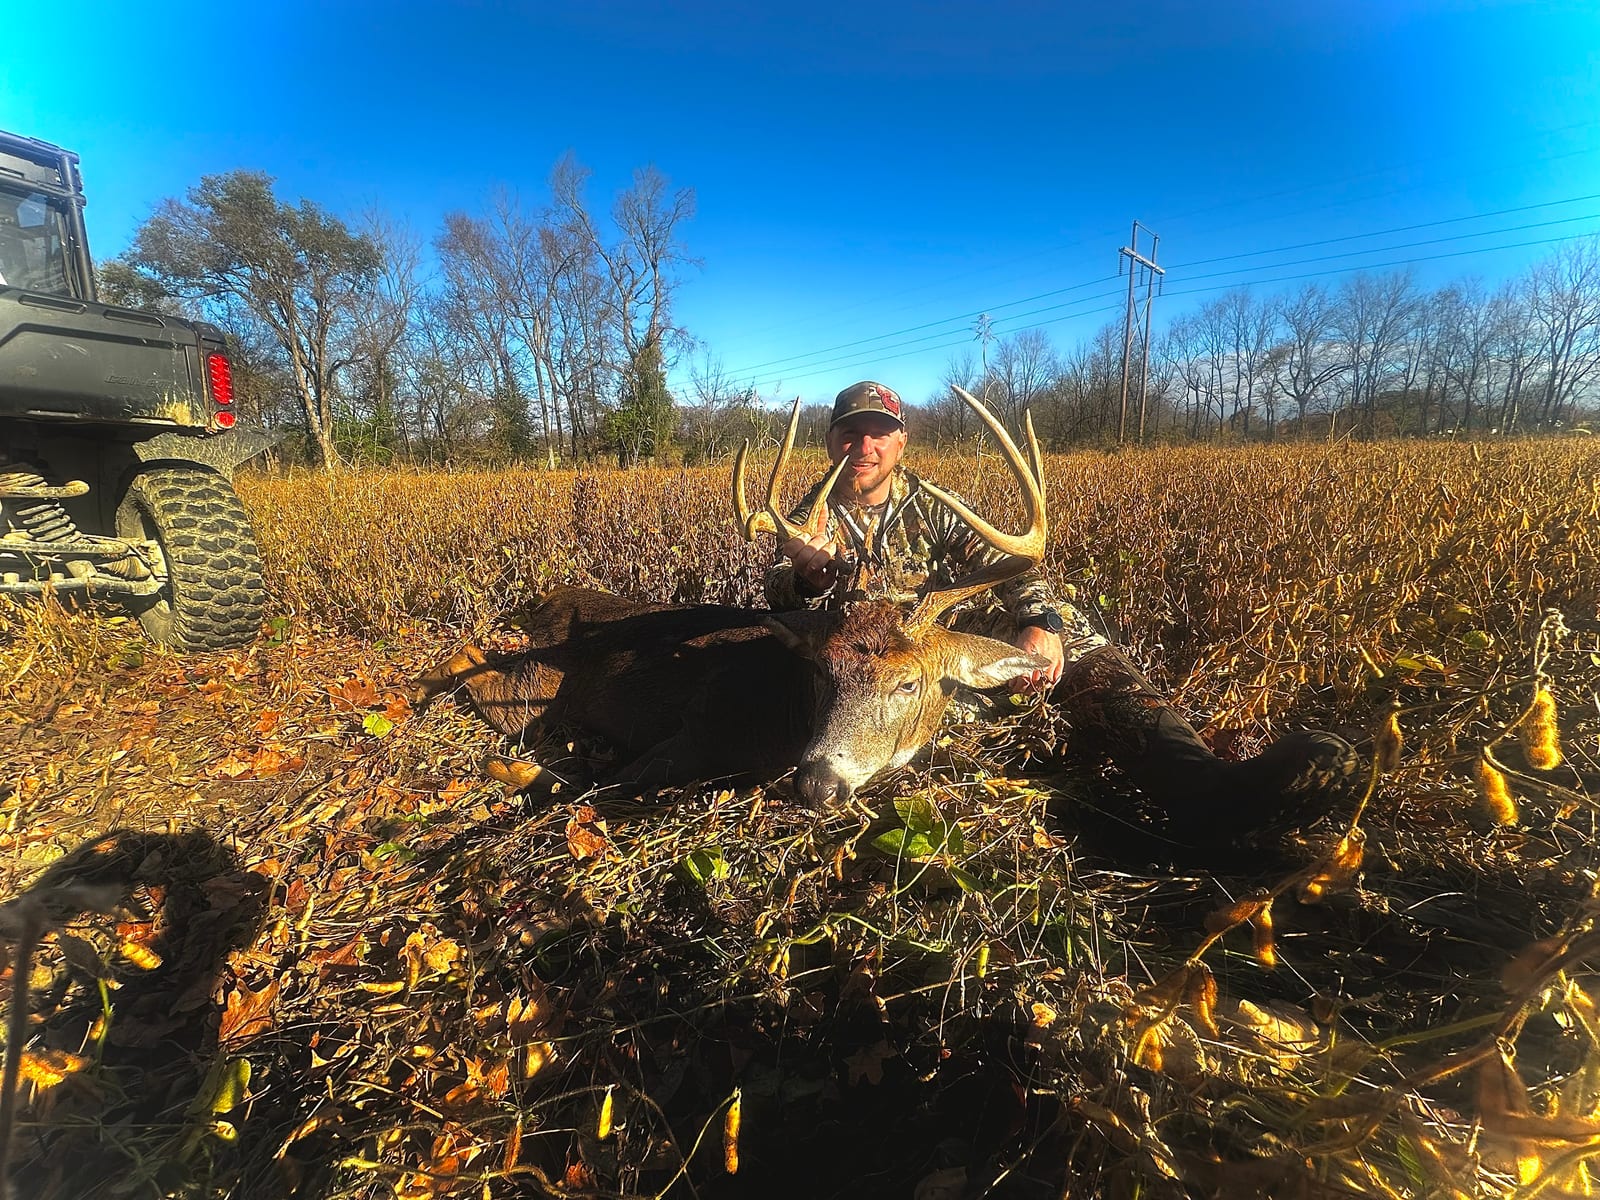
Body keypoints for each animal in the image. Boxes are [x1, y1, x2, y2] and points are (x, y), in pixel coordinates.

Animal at [411, 386, 1049, 807]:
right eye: (822, 670)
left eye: (909, 683)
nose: (818, 783)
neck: (781, 717)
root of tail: (542, 603)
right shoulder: (697, 726)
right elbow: (591, 785)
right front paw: (517, 771)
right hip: (538, 694)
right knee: (469, 665)